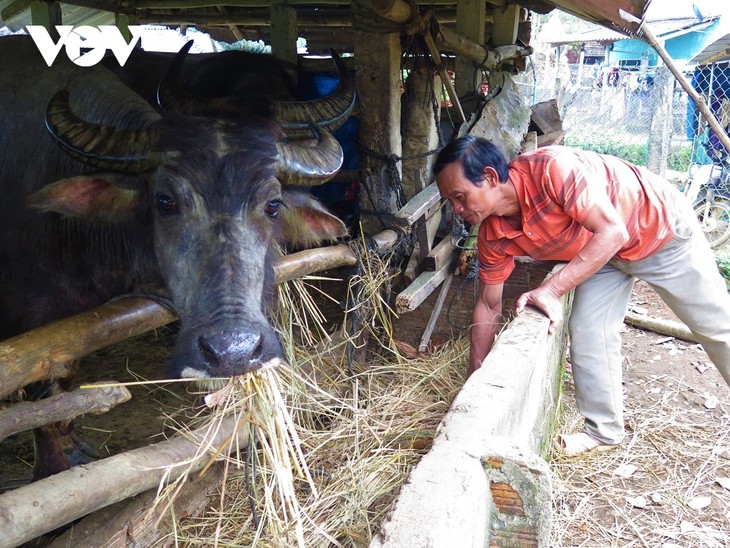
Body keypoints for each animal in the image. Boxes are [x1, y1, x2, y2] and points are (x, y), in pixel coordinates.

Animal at [0, 36, 350, 478]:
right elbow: (44, 395)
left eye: (273, 205)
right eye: (165, 201)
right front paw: (53, 465)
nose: (233, 352)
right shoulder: (31, 319)